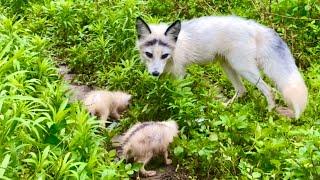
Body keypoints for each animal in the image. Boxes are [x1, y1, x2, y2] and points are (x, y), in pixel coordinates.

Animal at [135, 16, 308, 119]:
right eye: (149, 54)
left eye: (164, 55)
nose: (155, 73)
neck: (176, 47)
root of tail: (252, 26)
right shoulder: (164, 75)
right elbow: (161, 93)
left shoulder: (179, 75)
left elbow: (179, 97)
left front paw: (179, 112)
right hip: (228, 66)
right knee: (242, 90)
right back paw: (223, 108)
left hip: (243, 68)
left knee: (269, 90)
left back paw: (269, 113)